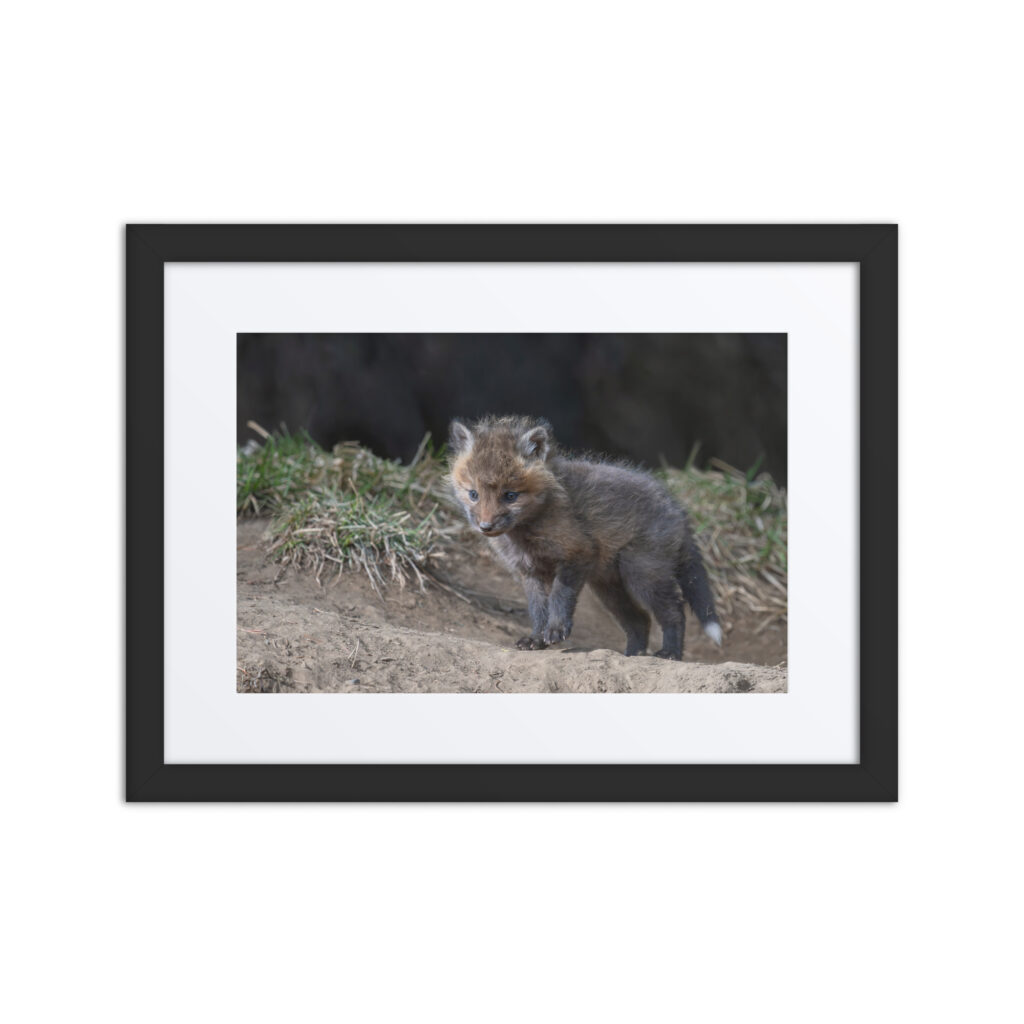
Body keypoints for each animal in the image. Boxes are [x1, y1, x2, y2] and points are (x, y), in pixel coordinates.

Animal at [447, 415, 722, 660]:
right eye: (473, 494)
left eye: (510, 495)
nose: (486, 526)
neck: (526, 534)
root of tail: (677, 508)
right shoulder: (530, 571)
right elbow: (538, 610)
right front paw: (536, 639)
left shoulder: (577, 554)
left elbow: (559, 596)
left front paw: (556, 629)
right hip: (609, 587)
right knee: (640, 620)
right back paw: (632, 655)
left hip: (642, 574)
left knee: (675, 611)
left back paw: (670, 653)